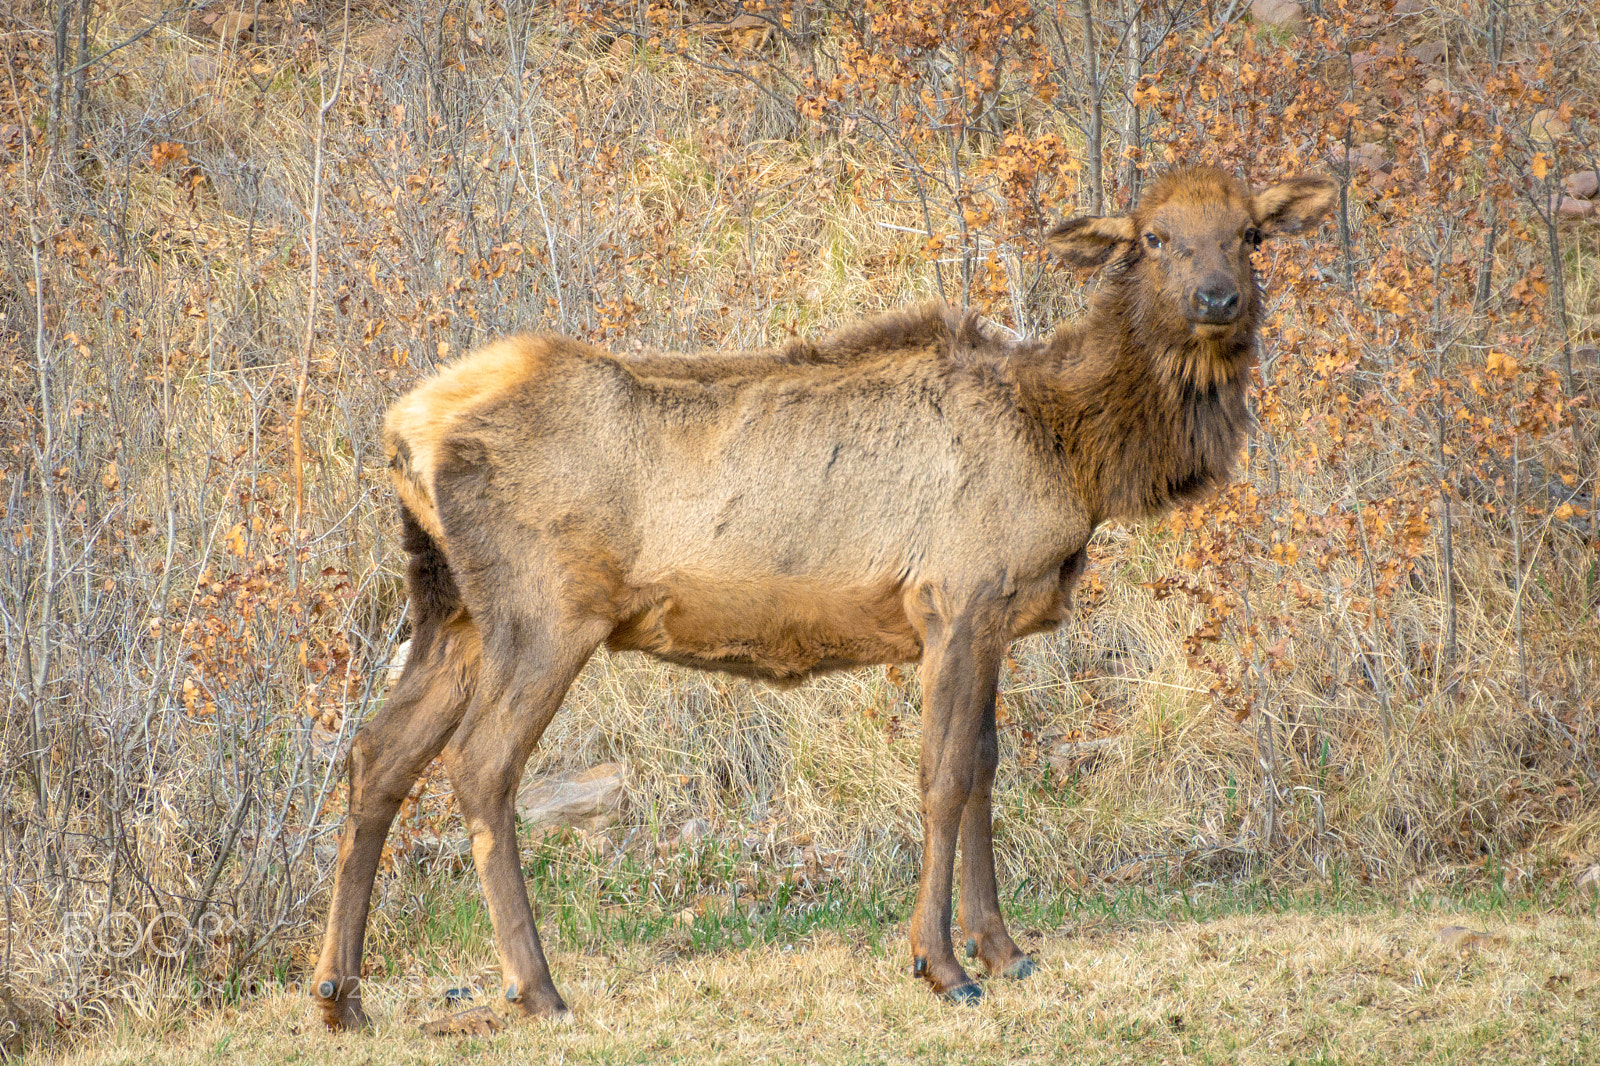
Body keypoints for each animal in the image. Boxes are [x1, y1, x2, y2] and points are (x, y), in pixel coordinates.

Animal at [311, 166, 1336, 1029]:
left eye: (1248, 232)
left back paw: (341, 995)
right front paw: (942, 966)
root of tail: (401, 431)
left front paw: (1005, 950)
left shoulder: (992, 618)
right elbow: (945, 775)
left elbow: (987, 767)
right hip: (546, 612)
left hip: (449, 608)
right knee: (479, 764)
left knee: (378, 754)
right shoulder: (957, 597)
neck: (1073, 451)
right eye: (1155, 236)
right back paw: (538, 989)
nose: (1218, 300)